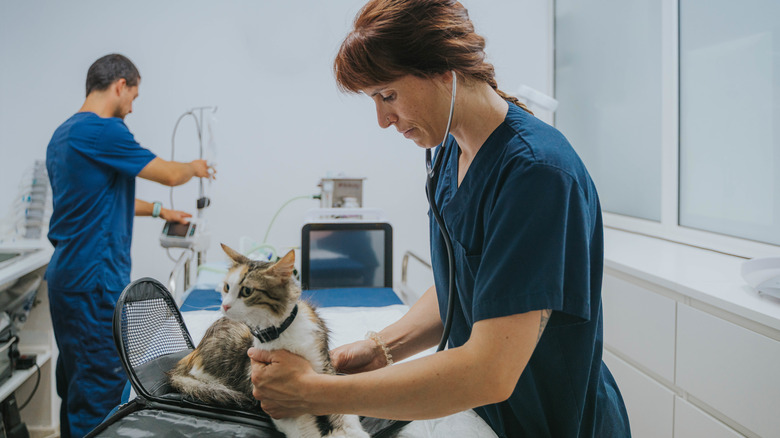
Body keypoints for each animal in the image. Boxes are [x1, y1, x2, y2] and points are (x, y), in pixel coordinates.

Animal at [169, 243, 370, 438]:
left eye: (247, 291)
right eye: (226, 287)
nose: (224, 305)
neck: (280, 333)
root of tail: (191, 354)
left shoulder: (323, 366)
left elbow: (342, 407)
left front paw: (353, 432)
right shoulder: (270, 393)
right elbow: (304, 428)